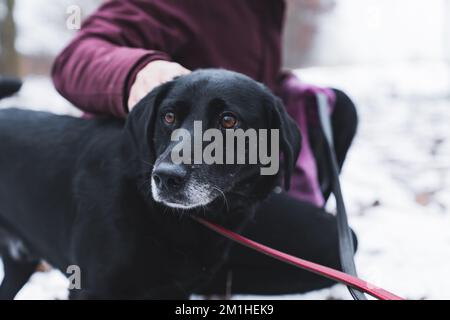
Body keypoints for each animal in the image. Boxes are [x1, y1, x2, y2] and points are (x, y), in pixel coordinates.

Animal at [0, 69, 302, 298]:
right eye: (168, 116)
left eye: (228, 120)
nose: (166, 177)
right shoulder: (92, 288)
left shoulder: (175, 290)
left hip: (18, 266)